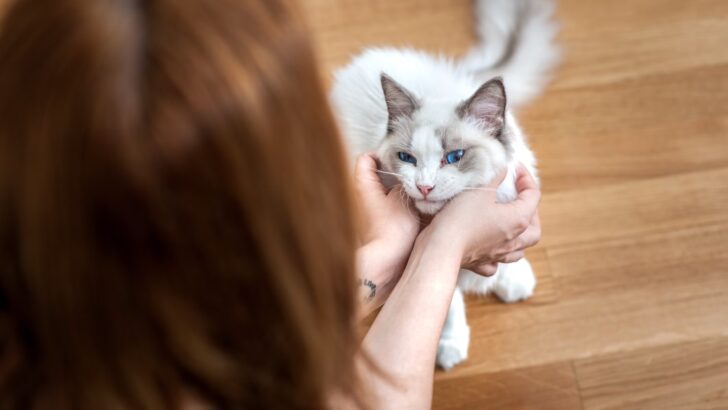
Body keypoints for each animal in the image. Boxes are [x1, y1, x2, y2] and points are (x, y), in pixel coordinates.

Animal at [332, 0, 560, 370]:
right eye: (407, 158)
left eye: (454, 157)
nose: (424, 187)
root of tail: (362, 60)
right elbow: (448, 301)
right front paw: (450, 345)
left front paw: (512, 280)